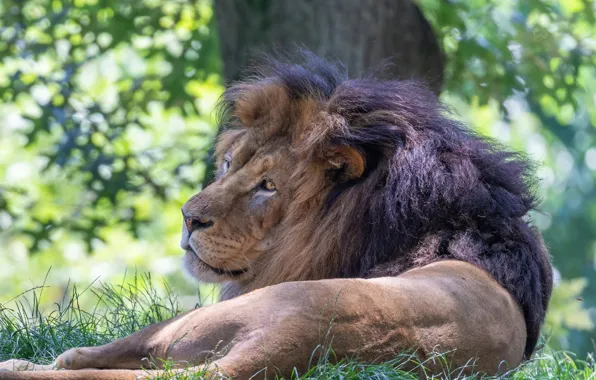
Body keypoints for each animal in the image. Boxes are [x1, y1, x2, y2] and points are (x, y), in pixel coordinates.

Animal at [0, 52, 552, 380]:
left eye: (267, 187)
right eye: (228, 164)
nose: (188, 218)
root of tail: (291, 347)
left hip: (205, 320)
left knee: (101, 358)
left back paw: (26, 363)